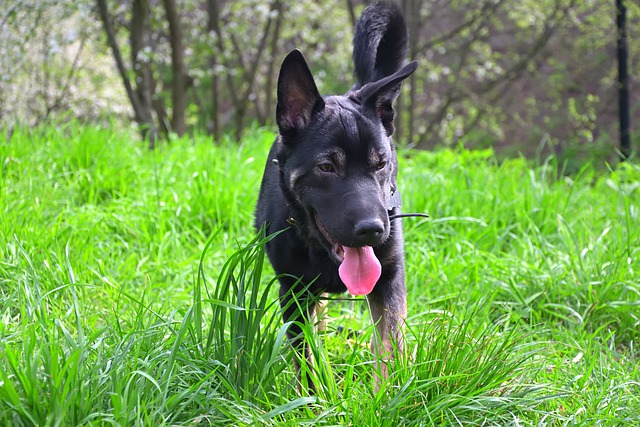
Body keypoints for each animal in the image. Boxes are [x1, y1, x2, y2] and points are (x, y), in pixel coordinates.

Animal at [254, 2, 416, 392]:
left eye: (381, 163)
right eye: (327, 167)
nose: (373, 230)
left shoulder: (389, 278)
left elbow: (391, 344)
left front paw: (386, 396)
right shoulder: (294, 291)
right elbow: (306, 357)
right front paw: (313, 398)